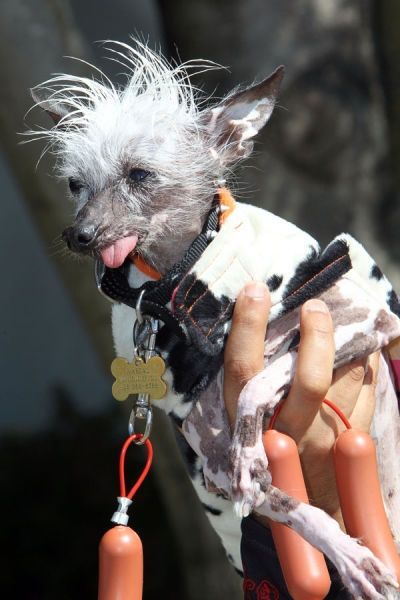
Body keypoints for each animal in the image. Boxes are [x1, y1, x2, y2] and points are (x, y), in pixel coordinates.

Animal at [28, 41, 400, 596]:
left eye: (139, 174)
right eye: (76, 185)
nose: (79, 234)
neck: (181, 286)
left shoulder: (365, 319)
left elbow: (258, 381)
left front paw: (251, 439)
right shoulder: (213, 465)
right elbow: (294, 506)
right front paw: (348, 557)